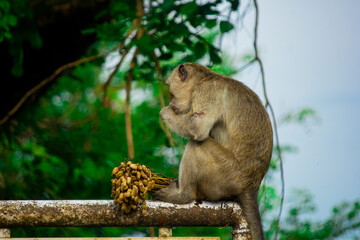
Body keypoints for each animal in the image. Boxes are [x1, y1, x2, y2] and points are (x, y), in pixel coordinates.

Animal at [152, 62, 272, 240]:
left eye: (171, 91)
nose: (172, 102)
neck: (204, 78)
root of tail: (252, 186)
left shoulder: (206, 92)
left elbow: (198, 128)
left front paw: (165, 111)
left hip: (226, 176)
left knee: (197, 144)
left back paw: (183, 195)